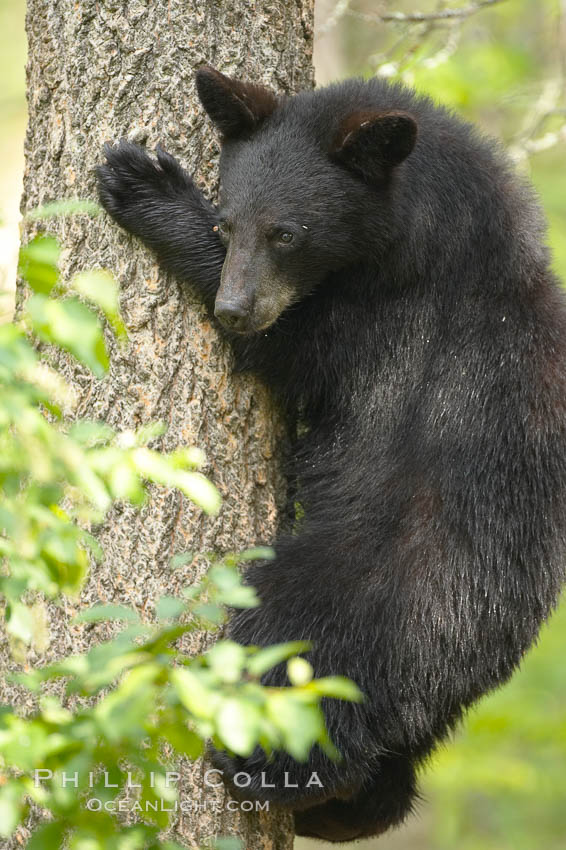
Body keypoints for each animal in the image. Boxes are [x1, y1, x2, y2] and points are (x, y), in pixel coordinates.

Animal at [95, 68, 566, 840]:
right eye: (230, 224)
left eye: (286, 232)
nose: (232, 310)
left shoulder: (388, 323)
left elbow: (291, 345)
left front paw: (144, 184)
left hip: (347, 602)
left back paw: (262, 764)